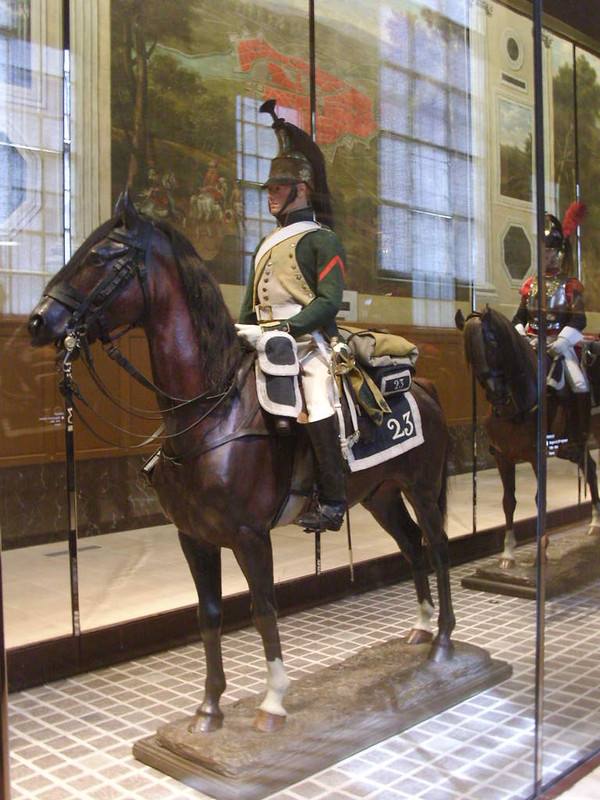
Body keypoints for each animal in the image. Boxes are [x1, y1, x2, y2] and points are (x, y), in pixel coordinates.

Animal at [25, 192, 452, 732]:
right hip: (380, 498)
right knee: (414, 547)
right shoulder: (194, 538)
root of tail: (425, 387)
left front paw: (272, 702)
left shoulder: (251, 536)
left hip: (422, 490)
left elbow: (263, 608)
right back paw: (420, 629)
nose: (38, 321)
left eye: (102, 255)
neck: (211, 412)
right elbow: (209, 614)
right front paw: (209, 708)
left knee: (438, 548)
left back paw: (444, 641)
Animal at [458, 306, 596, 568]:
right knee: (590, 468)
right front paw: (508, 554)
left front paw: (541, 551)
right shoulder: (503, 457)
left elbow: (539, 499)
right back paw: (595, 522)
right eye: (468, 352)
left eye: (492, 341)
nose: (496, 395)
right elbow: (508, 501)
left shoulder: (536, 455)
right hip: (571, 447)